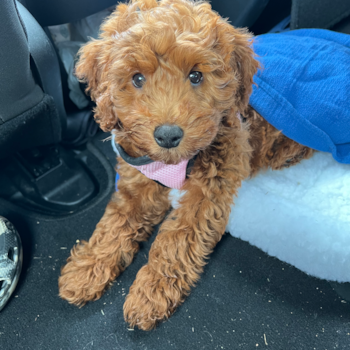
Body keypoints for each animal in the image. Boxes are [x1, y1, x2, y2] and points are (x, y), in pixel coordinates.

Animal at [58, 0, 314, 330]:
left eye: (195, 76)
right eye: (137, 79)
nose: (168, 135)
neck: (174, 163)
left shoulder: (209, 191)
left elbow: (177, 238)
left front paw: (151, 290)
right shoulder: (137, 178)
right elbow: (115, 222)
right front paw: (88, 267)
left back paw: (286, 152)